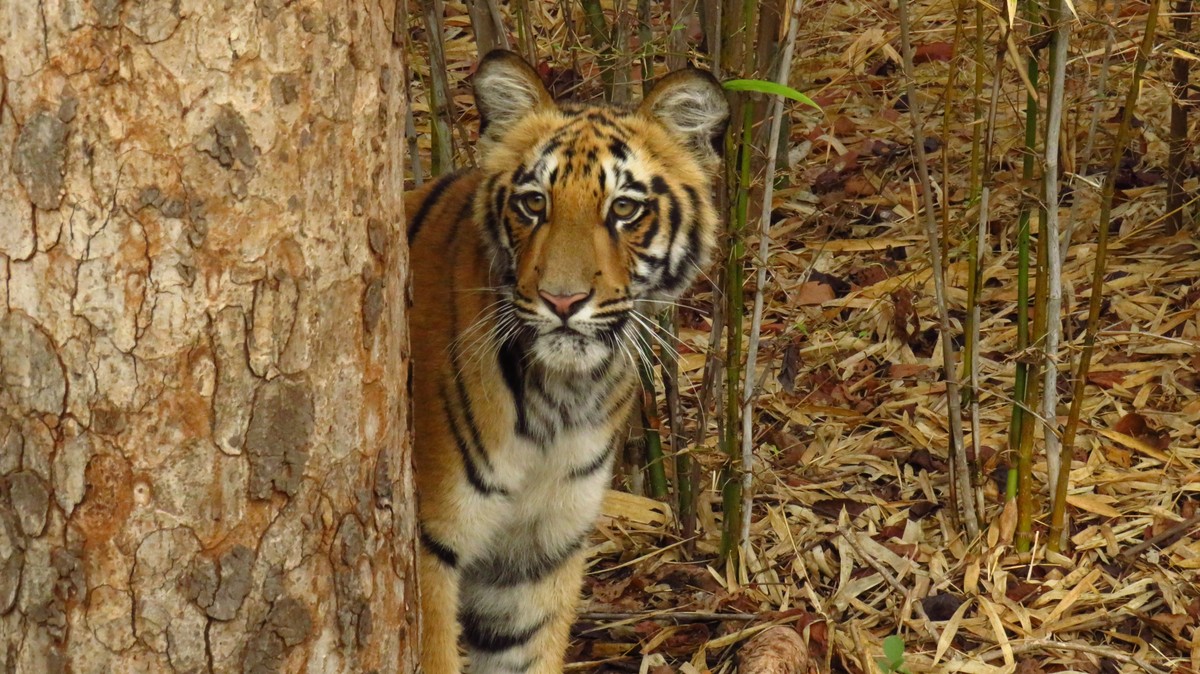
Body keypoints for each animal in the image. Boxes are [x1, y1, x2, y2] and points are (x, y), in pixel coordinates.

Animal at [405, 48, 729, 671]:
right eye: (535, 202)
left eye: (624, 208)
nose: (562, 300)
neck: (559, 399)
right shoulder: (430, 545)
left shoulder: (538, 553)